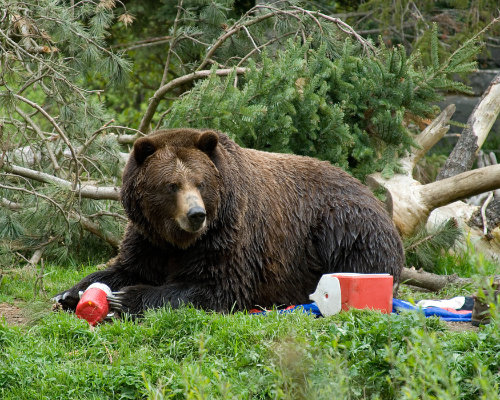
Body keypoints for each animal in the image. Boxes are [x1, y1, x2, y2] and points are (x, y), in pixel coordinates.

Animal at [54, 128, 404, 316]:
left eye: (200, 182)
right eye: (171, 185)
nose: (196, 215)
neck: (179, 240)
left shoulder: (229, 234)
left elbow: (217, 286)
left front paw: (125, 299)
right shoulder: (148, 237)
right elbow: (125, 266)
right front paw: (69, 294)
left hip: (342, 228)